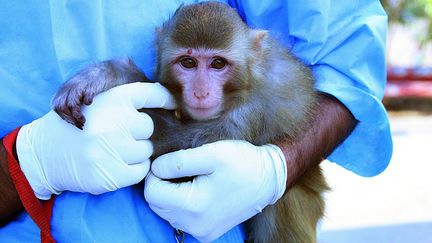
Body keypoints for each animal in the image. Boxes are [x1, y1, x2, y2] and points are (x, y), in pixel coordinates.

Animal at [52, 1, 328, 243]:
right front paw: (103, 74)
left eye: (218, 63)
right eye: (188, 62)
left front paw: (115, 74)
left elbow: (181, 152)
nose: (201, 92)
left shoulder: (252, 111)